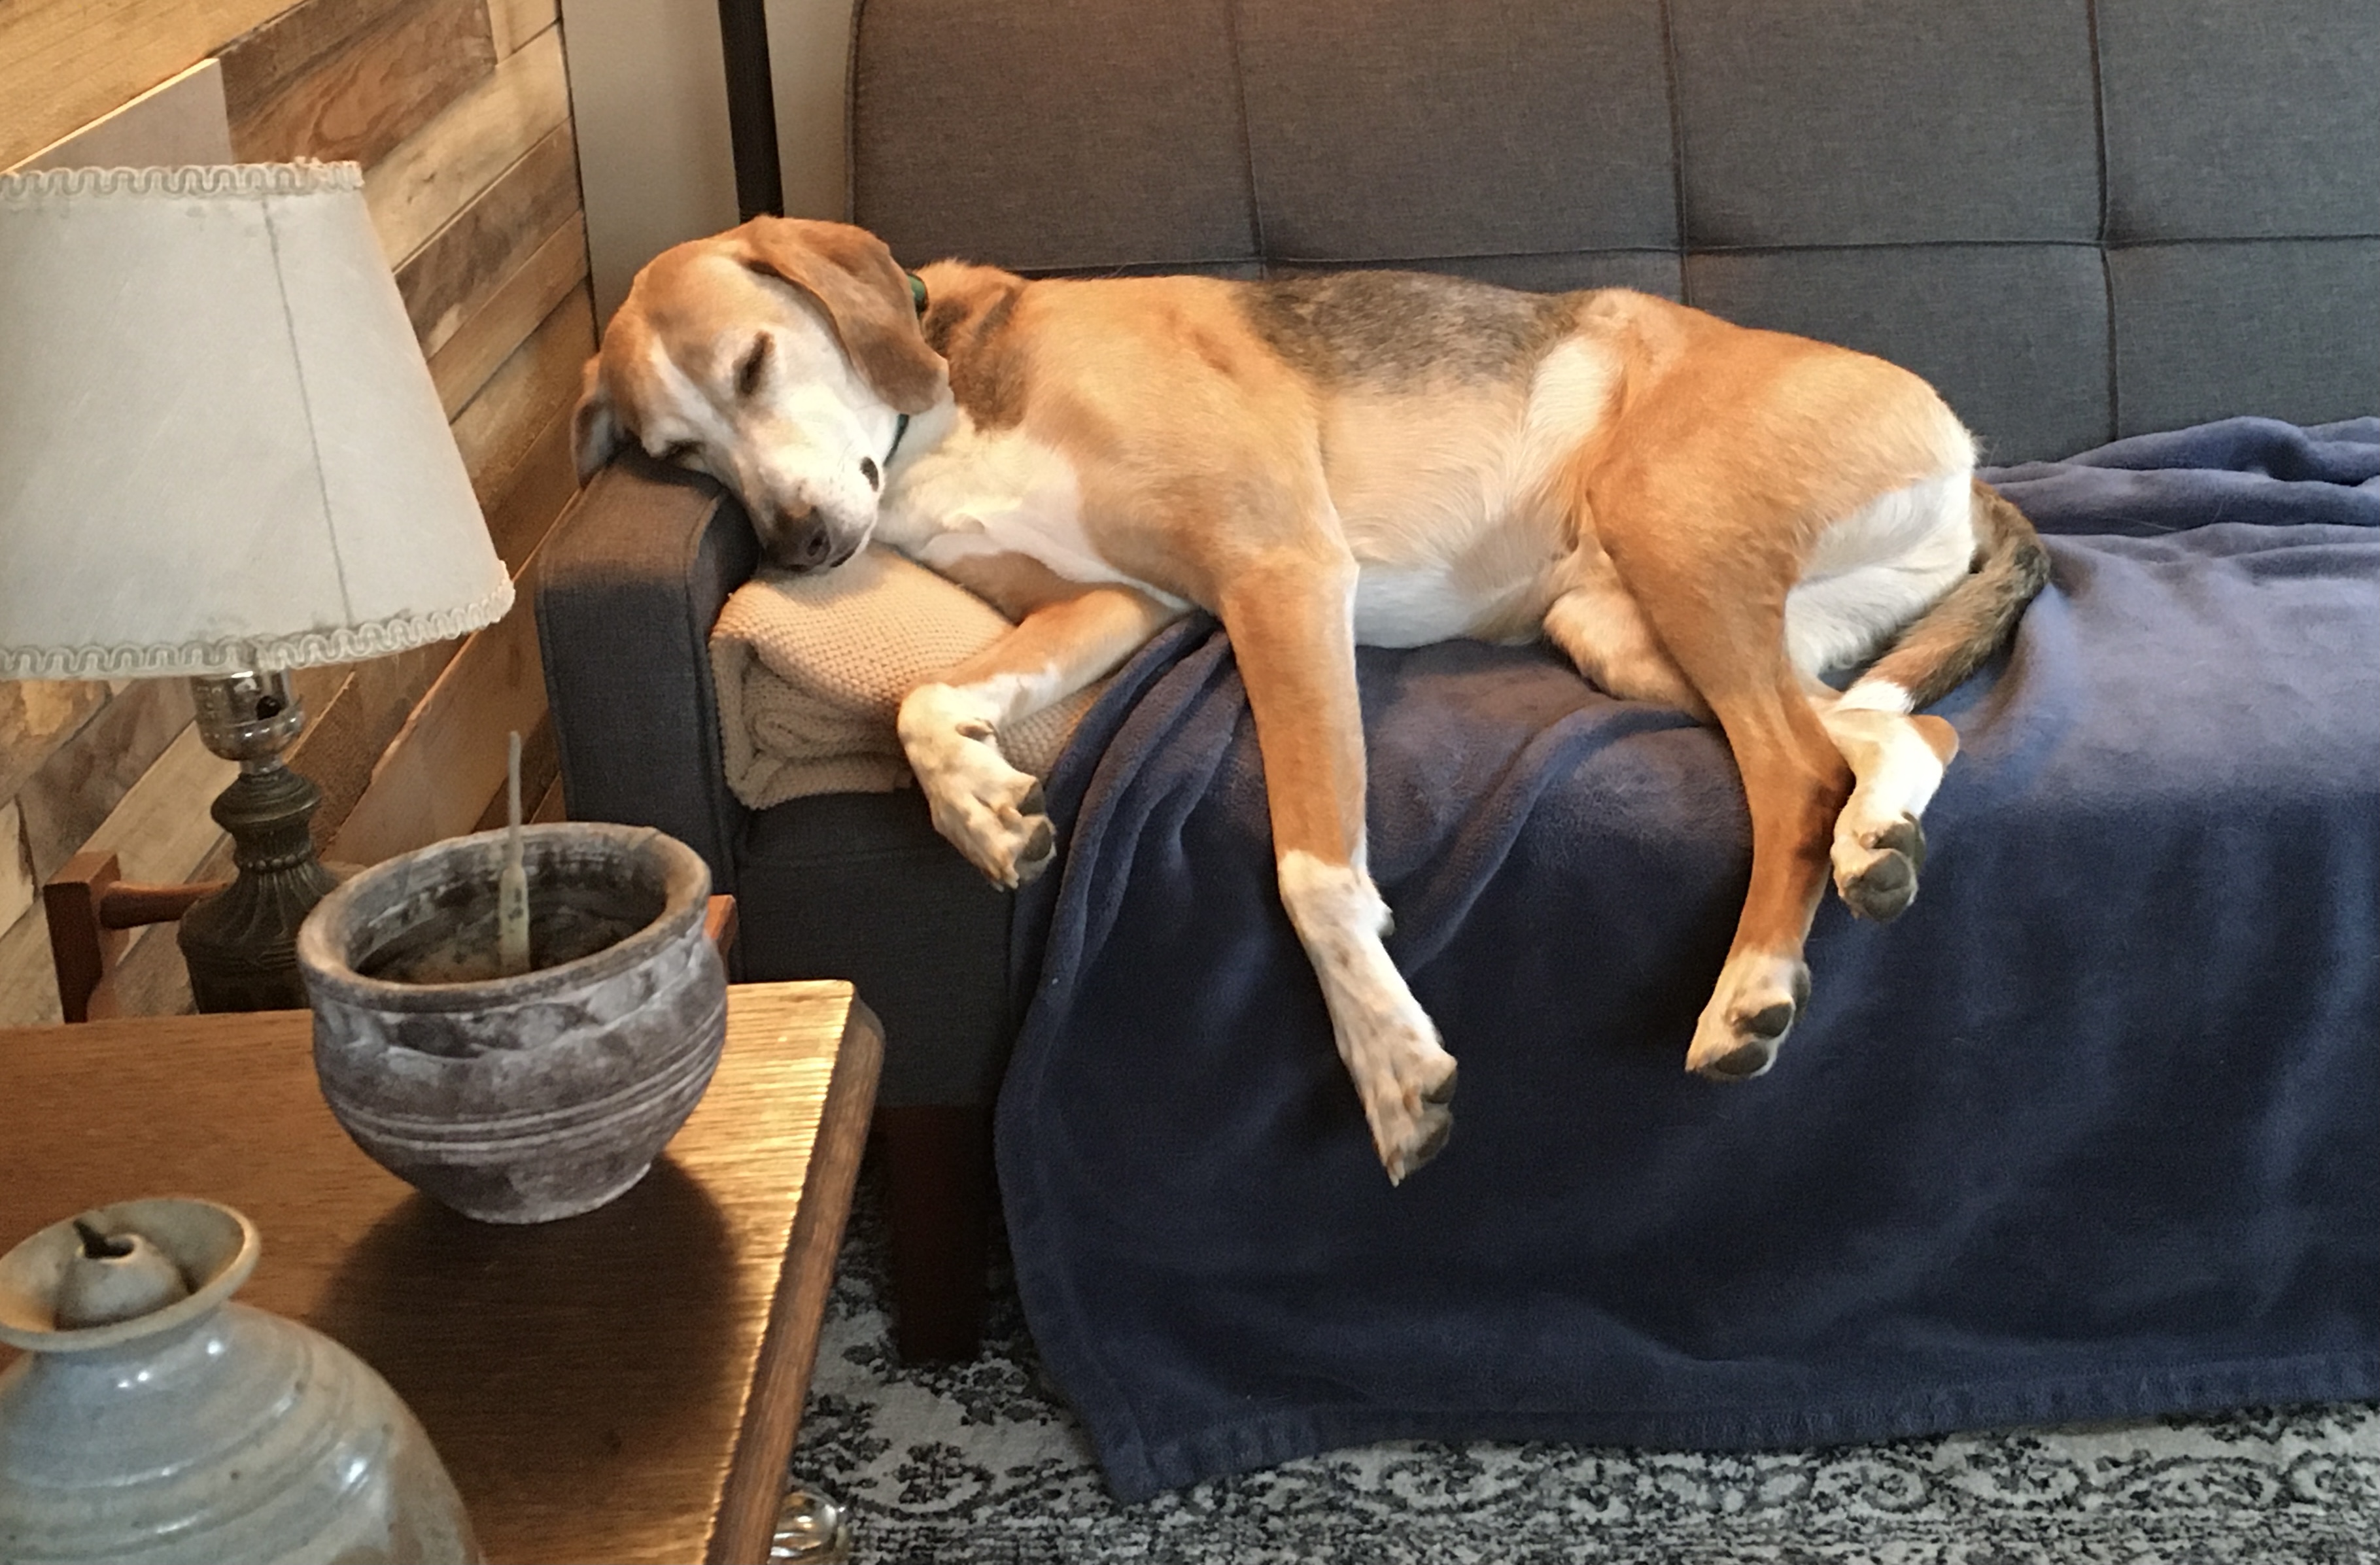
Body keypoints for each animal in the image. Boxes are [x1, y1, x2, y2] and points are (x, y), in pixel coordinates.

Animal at [574, 217, 2048, 1183]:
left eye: (755, 363)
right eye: (676, 454)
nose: (800, 546)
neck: (946, 403)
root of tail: (1963, 450)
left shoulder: (1275, 574)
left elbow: (1311, 872)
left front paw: (1389, 1061)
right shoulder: (1122, 606)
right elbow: (925, 703)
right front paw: (985, 809)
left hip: (1673, 533)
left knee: (1795, 768)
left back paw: (1748, 993)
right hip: (1627, 625)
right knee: (1893, 725)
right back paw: (1877, 843)